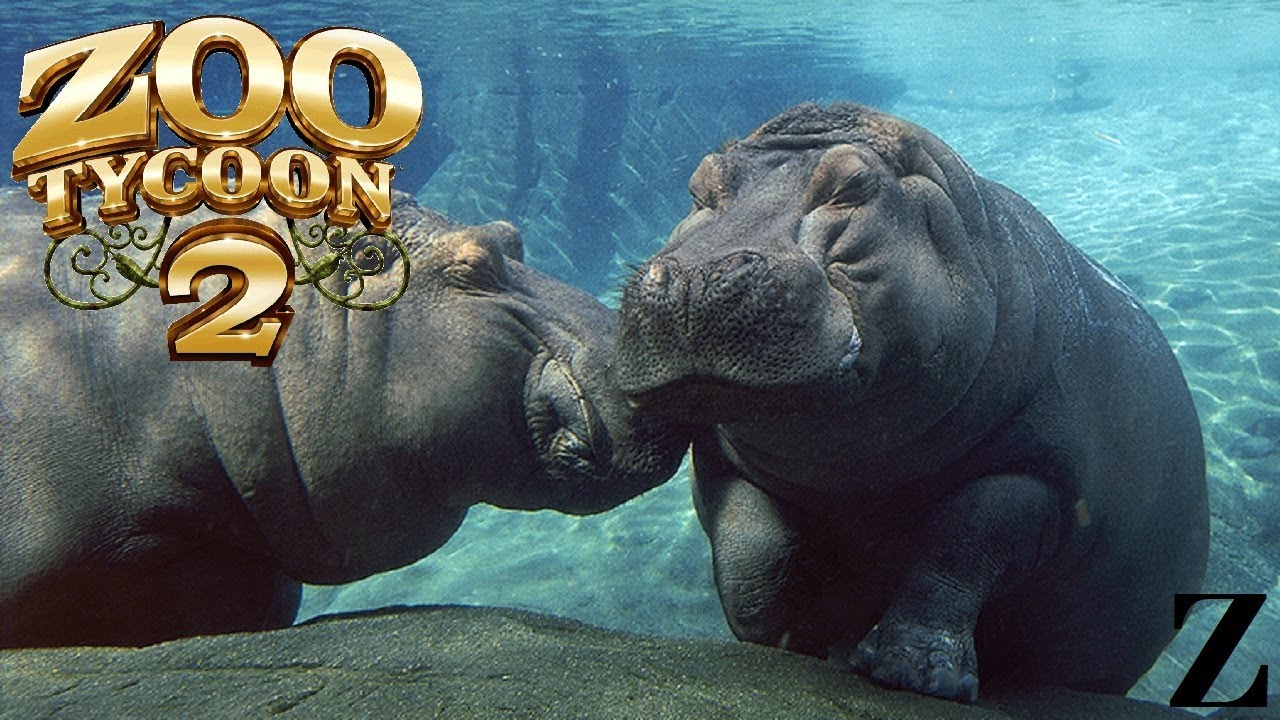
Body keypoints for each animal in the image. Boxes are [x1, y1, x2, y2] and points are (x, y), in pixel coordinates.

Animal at [616, 103, 1208, 702]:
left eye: (852, 186)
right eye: (697, 189)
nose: (697, 278)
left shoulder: (1039, 476)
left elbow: (958, 547)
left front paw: (915, 674)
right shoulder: (719, 459)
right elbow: (752, 548)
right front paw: (793, 638)